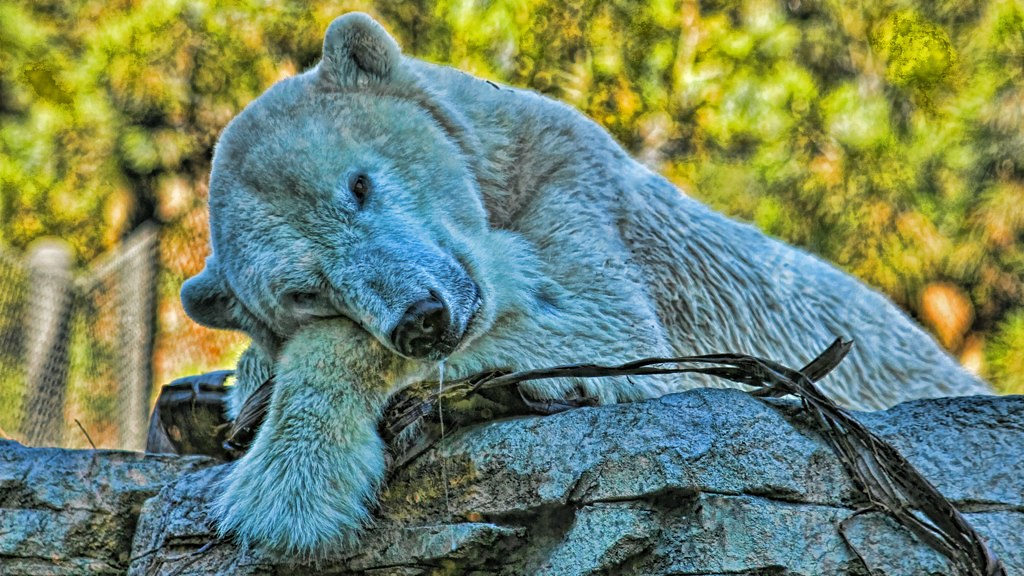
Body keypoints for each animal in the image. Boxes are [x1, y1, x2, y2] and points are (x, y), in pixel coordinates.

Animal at [180, 12, 991, 557]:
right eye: (304, 289)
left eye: (358, 184)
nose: (422, 317)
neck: (497, 159)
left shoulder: (577, 186)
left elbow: (602, 323)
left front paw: (286, 485)